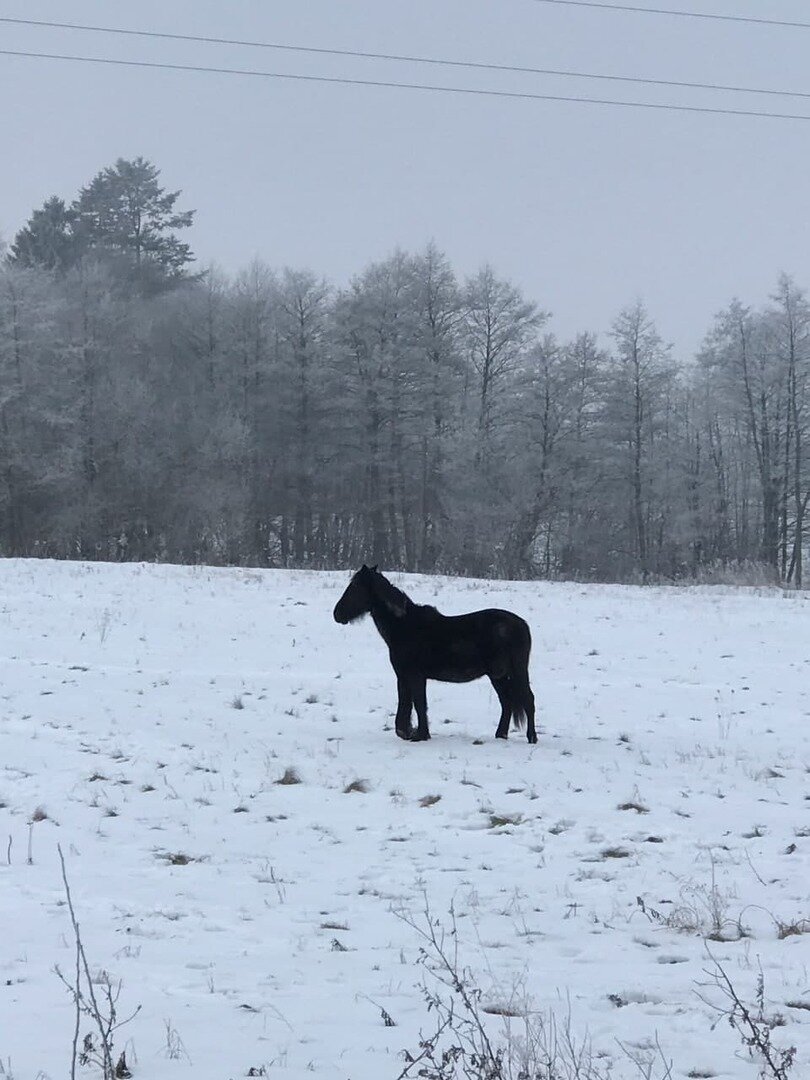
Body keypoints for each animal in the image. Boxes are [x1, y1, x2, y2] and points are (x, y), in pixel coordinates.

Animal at [332, 565, 535, 743]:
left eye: (355, 587)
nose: (337, 614)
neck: (405, 626)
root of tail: (522, 624)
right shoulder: (403, 676)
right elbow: (406, 705)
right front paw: (409, 732)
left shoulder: (415, 675)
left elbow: (419, 704)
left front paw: (420, 735)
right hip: (497, 675)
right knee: (507, 702)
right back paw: (501, 735)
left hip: (517, 671)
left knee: (528, 699)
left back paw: (531, 738)